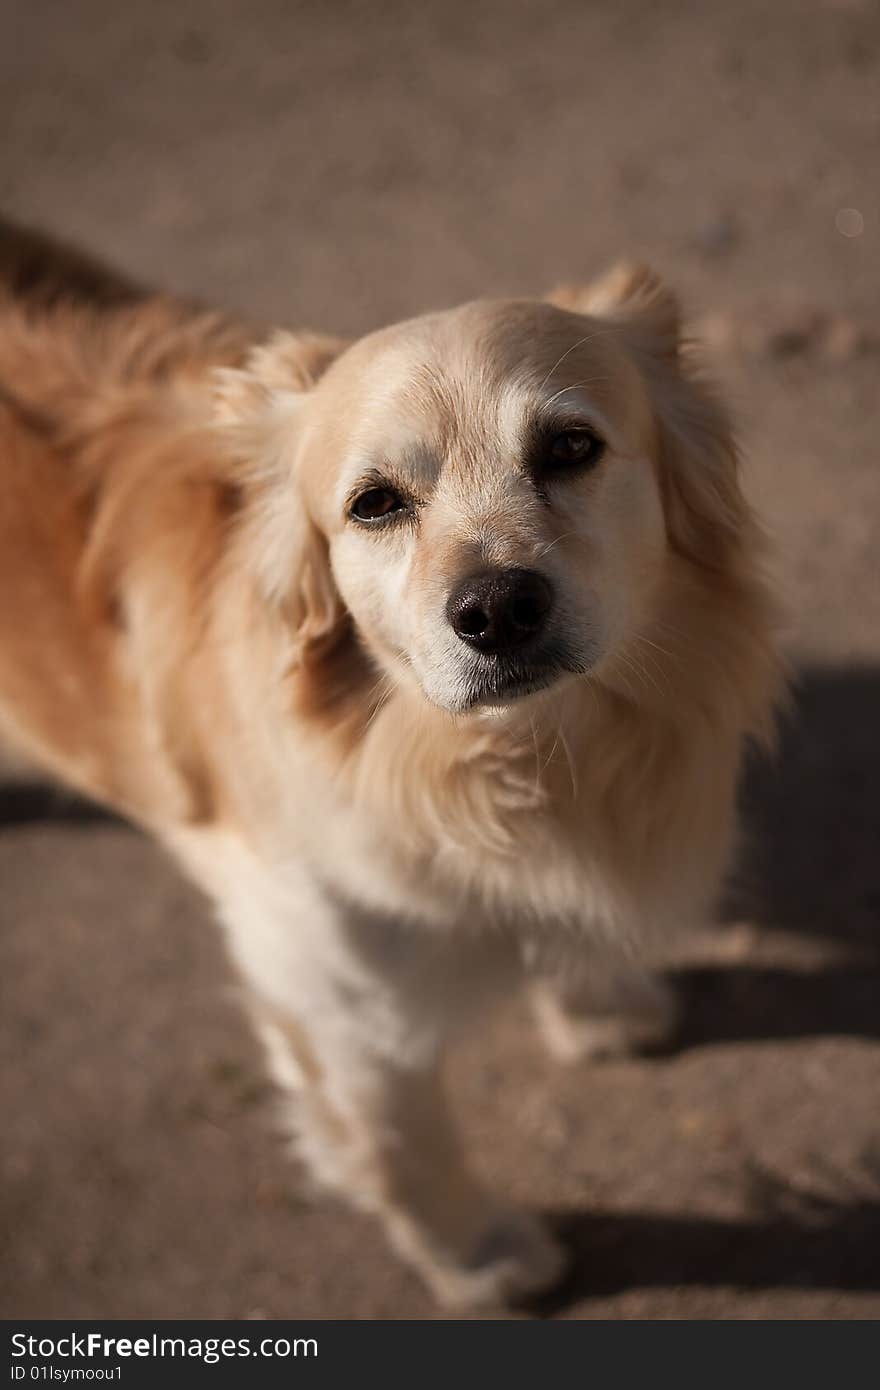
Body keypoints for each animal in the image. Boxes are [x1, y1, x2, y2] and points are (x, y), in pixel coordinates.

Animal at [1, 222, 784, 1306]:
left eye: (570, 448)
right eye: (374, 505)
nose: (496, 609)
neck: (508, 762)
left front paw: (602, 1006)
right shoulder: (334, 999)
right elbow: (405, 1144)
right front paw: (481, 1256)